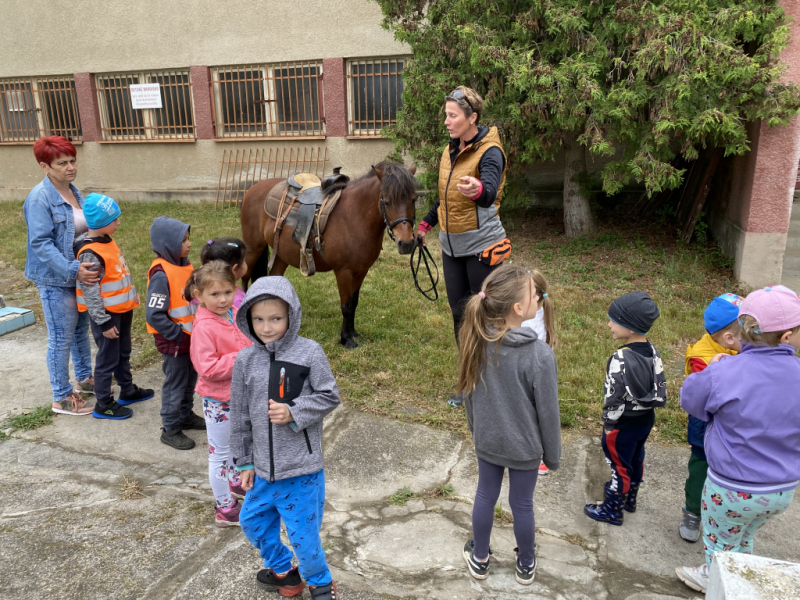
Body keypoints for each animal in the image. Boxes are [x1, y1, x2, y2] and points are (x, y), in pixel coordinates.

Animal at [241, 162, 418, 350]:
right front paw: (346, 339)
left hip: (282, 256)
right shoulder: (344, 272)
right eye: (386, 202)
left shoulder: (362, 271)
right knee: (245, 277)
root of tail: (253, 188)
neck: (355, 216)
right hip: (253, 248)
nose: (406, 243)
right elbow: (346, 306)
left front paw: (353, 332)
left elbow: (354, 303)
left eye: (413, 200)